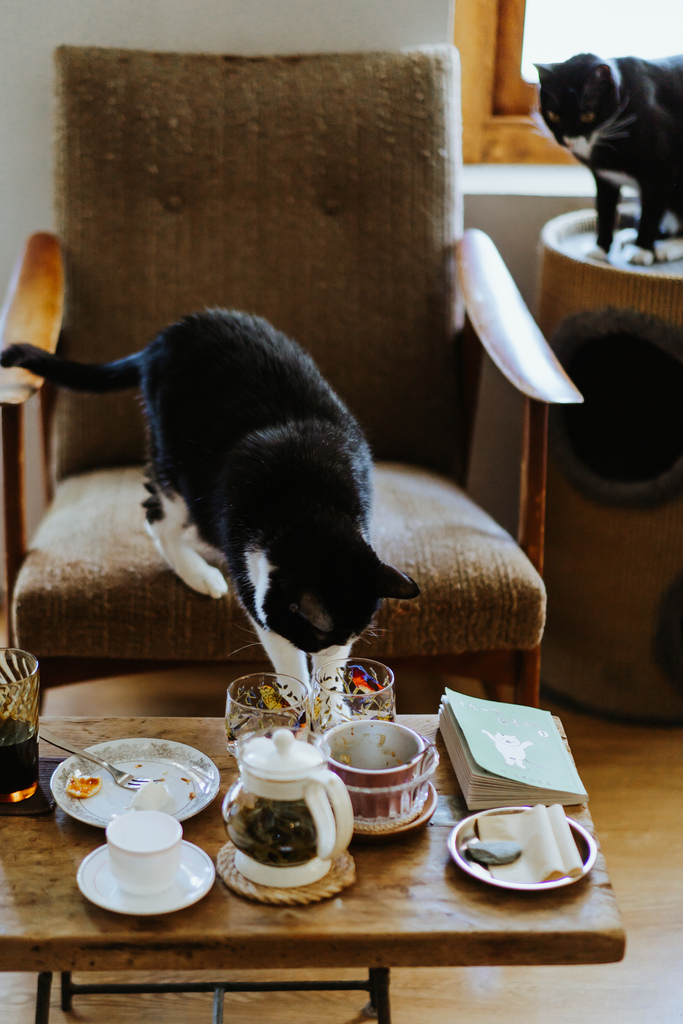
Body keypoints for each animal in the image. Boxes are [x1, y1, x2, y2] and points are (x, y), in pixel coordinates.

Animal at [0, 307, 419, 684]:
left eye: (347, 640)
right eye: (313, 639)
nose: (325, 652)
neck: (311, 503)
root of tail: (164, 339)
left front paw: (333, 703)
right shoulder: (251, 576)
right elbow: (281, 651)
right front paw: (302, 702)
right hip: (178, 467)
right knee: (156, 517)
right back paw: (200, 575)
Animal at [536, 52, 683, 264]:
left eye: (587, 114)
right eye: (553, 115)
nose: (568, 140)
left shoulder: (661, 172)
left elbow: (651, 212)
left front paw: (642, 250)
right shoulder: (605, 177)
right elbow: (605, 210)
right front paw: (600, 248)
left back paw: (667, 248)